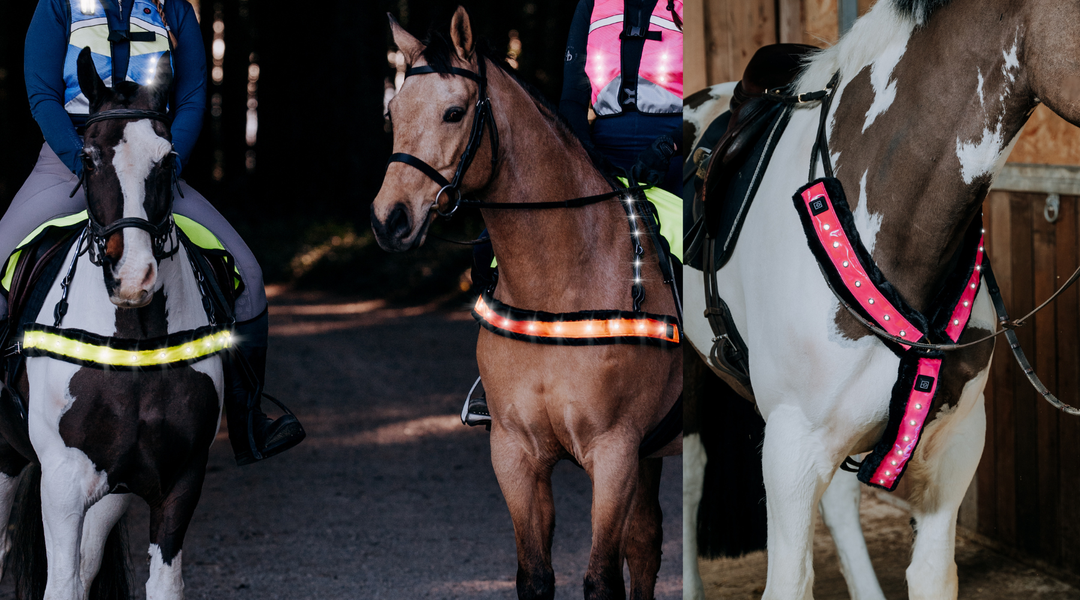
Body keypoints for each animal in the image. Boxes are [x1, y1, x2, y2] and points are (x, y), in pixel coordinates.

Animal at [372, 7, 682, 599]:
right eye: (393, 112)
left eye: (453, 113)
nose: (389, 220)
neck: (560, 288)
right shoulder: (516, 454)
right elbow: (535, 576)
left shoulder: (614, 454)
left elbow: (600, 579)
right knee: (647, 545)